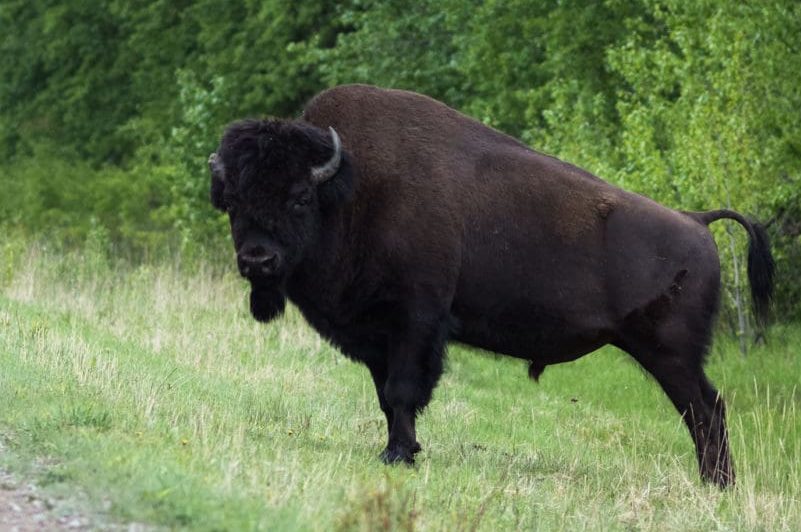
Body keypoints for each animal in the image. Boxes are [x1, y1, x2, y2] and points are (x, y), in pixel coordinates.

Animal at [209, 83, 772, 486]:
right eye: (232, 200)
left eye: (300, 197)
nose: (258, 259)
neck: (352, 189)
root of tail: (696, 221)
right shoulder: (376, 336)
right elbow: (386, 397)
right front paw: (399, 450)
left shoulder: (415, 322)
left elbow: (402, 391)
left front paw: (398, 456)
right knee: (706, 410)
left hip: (671, 354)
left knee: (705, 409)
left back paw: (717, 485)